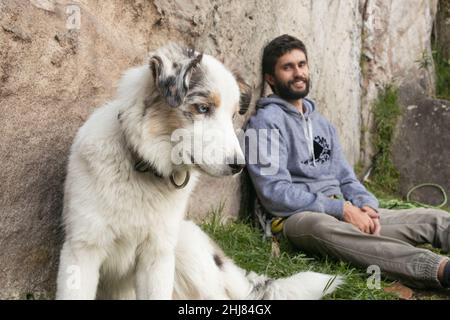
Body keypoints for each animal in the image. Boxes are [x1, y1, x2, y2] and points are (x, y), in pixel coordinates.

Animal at [55, 43, 342, 298]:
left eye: (231, 116)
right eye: (203, 108)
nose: (239, 166)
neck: (144, 168)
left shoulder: (158, 255)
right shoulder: (82, 251)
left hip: (185, 247)